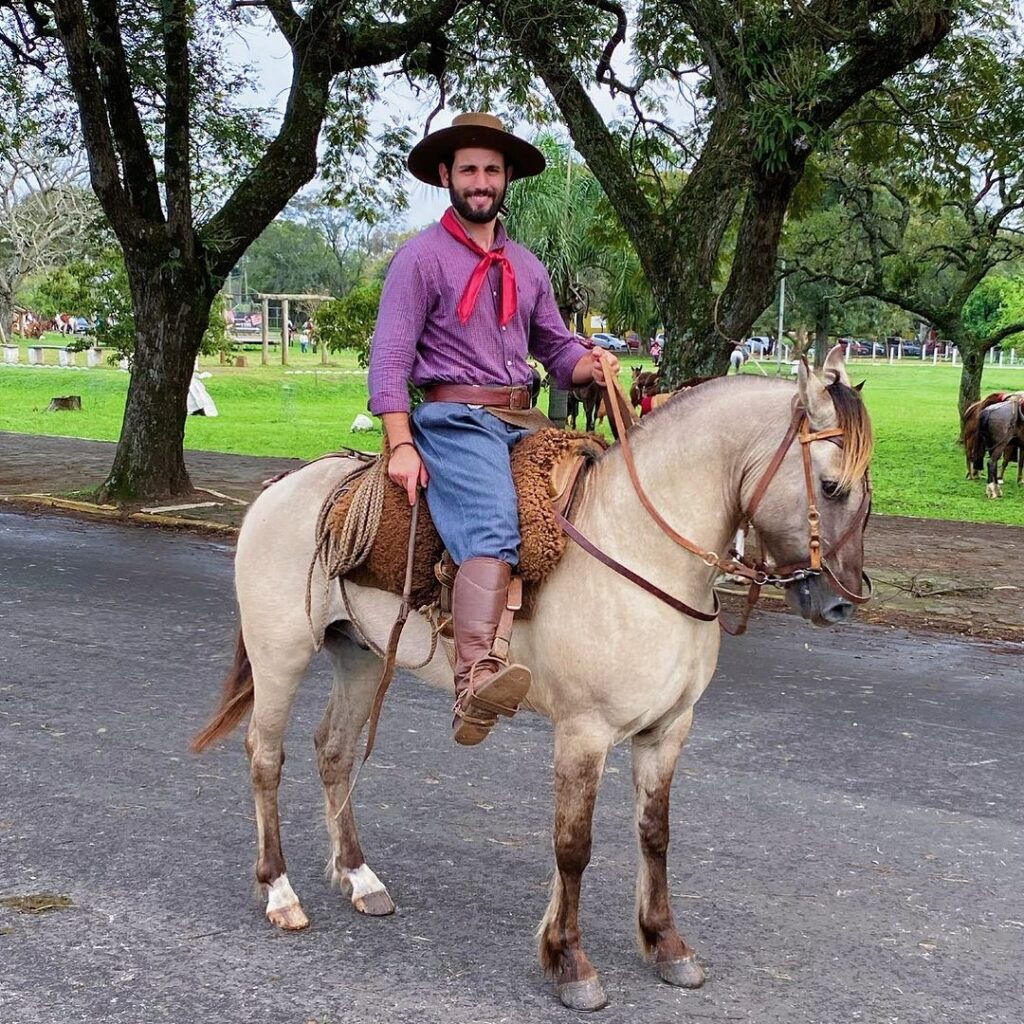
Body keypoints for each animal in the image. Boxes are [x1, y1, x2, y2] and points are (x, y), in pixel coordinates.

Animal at [192, 348, 872, 1011]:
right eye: (831, 486)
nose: (841, 602)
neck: (641, 549)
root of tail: (283, 489)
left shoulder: (667, 730)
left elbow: (655, 835)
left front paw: (666, 944)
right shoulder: (584, 733)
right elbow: (573, 846)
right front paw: (569, 962)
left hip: (358, 656)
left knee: (333, 752)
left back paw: (360, 878)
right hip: (280, 654)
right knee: (265, 757)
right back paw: (280, 892)